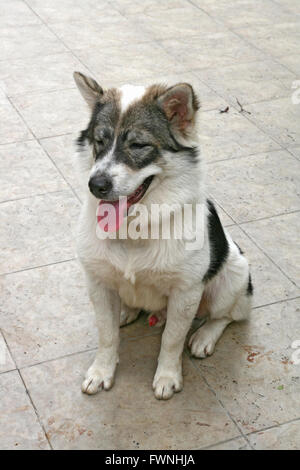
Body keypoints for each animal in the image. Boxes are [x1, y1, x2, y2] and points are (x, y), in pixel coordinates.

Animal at [73, 72, 253, 400]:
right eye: (99, 141)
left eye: (138, 144)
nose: (96, 185)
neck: (134, 231)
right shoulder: (97, 283)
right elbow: (106, 335)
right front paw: (102, 370)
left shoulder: (186, 292)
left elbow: (172, 340)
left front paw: (168, 376)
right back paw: (126, 311)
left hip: (233, 275)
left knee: (227, 315)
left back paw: (204, 335)